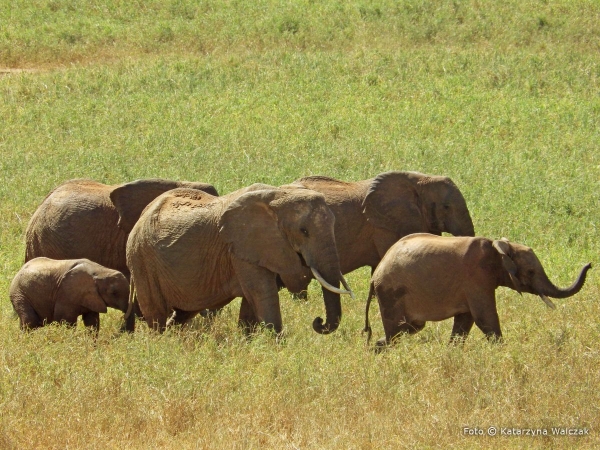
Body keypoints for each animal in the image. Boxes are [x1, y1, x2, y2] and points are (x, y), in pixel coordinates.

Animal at [126, 185, 352, 334]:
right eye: (304, 231)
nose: (318, 321)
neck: (278, 194)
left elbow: (251, 302)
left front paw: (249, 343)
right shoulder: (241, 248)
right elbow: (262, 293)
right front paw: (277, 347)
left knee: (183, 313)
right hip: (141, 259)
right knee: (156, 314)